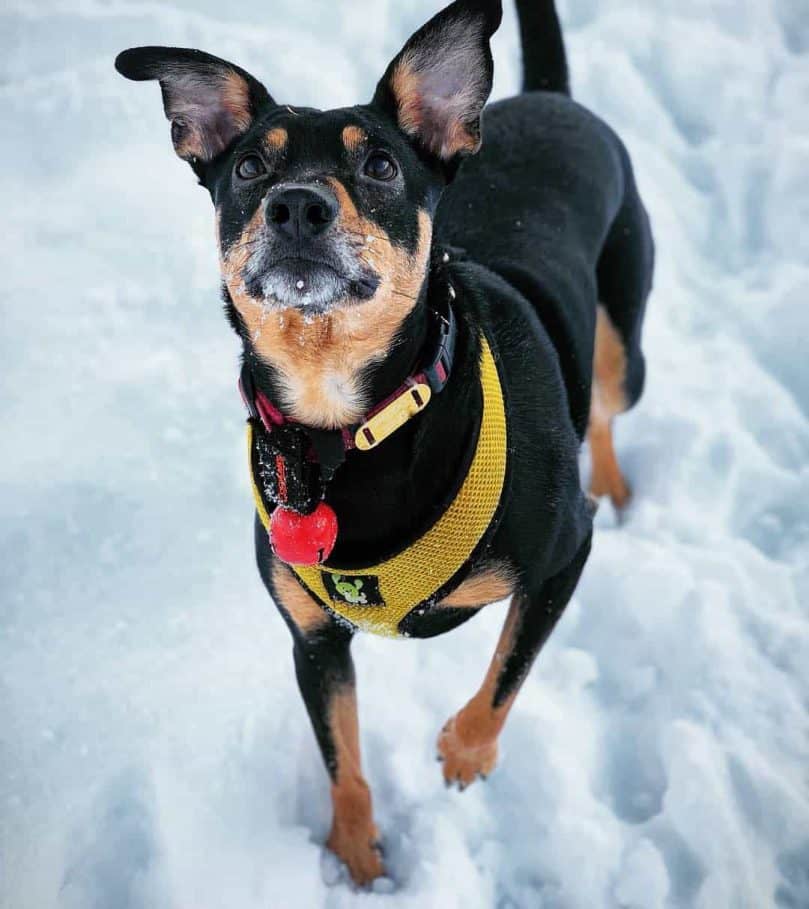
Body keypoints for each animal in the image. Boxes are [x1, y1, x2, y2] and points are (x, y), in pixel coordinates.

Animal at [117, 0, 652, 884]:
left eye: (377, 165)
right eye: (248, 168)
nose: (296, 205)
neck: (345, 427)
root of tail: (551, 97)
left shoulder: (563, 555)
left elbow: (507, 669)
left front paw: (463, 754)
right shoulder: (310, 635)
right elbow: (342, 755)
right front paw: (357, 857)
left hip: (622, 340)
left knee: (606, 408)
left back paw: (611, 484)